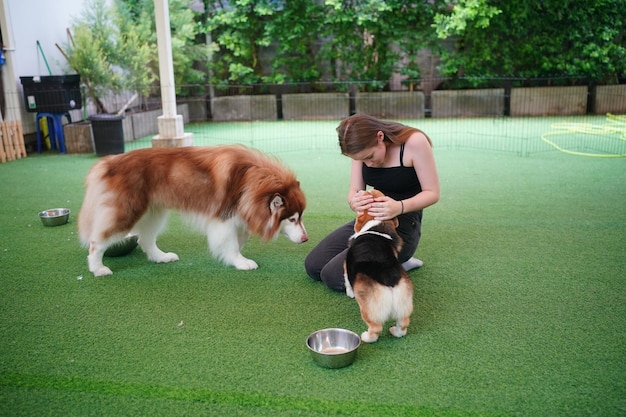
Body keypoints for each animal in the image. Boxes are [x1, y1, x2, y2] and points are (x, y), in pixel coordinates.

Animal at [78, 144, 308, 276]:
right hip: (127, 212)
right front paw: (240, 261)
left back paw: (161, 257)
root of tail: (110, 161)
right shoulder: (223, 219)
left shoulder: (241, 214)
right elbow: (232, 244)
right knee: (96, 241)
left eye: (300, 217)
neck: (250, 180)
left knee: (146, 239)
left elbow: (239, 239)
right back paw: (98, 269)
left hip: (154, 213)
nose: (306, 239)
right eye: (292, 219)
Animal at [344, 188, 412, 342]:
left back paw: (366, 337)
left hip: (368, 308)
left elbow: (346, 281)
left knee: (376, 328)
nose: (359, 189)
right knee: (403, 325)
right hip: (404, 306)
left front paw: (349, 293)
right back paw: (394, 331)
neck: (377, 224)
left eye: (369, 193)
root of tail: (390, 280)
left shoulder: (345, 266)